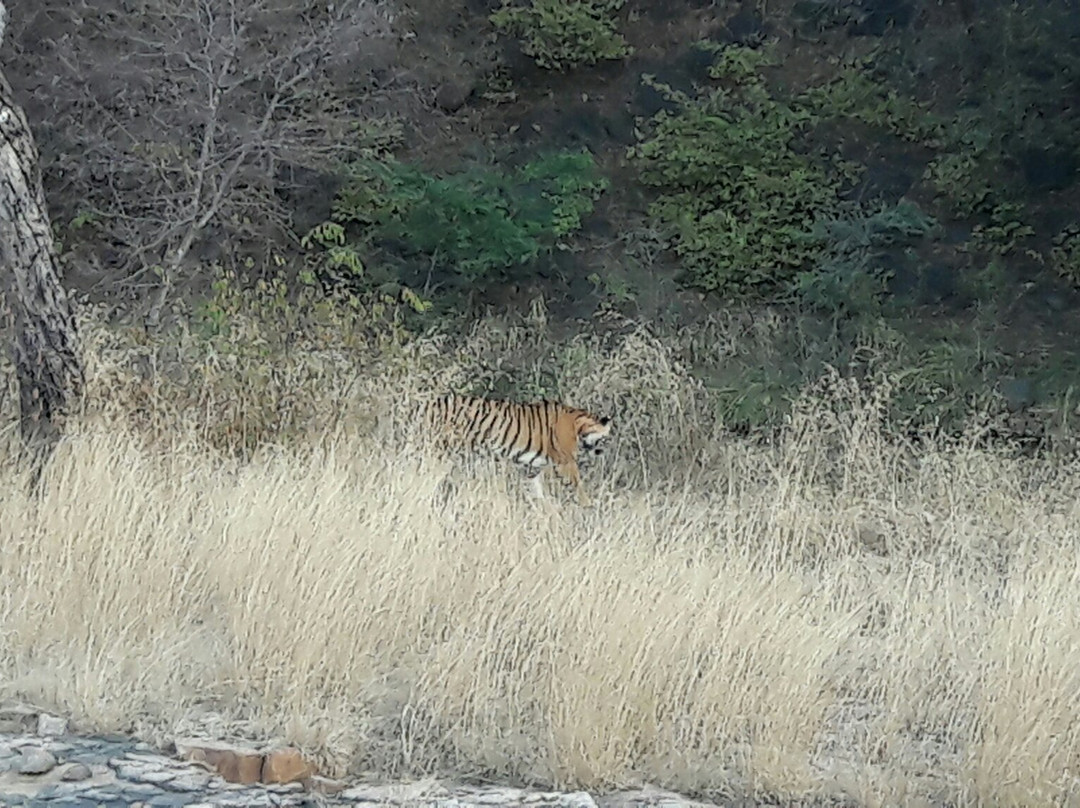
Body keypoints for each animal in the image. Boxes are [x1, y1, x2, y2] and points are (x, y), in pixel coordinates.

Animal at [412, 393, 613, 501]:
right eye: (605, 439)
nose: (604, 451)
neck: (578, 426)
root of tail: (429, 404)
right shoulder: (565, 463)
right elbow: (577, 484)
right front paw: (588, 504)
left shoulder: (531, 468)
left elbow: (537, 491)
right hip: (441, 450)